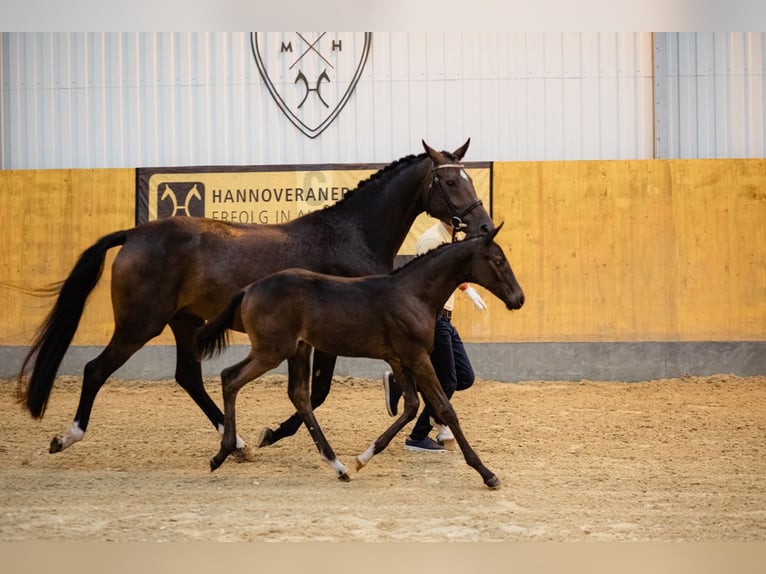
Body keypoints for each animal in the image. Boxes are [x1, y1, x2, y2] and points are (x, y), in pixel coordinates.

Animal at [21, 142, 496, 462]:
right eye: (449, 180)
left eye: (470, 177)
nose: (483, 226)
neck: (349, 234)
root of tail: (135, 234)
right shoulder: (329, 336)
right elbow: (318, 392)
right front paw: (276, 433)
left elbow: (316, 391)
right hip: (140, 324)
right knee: (95, 369)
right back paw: (66, 437)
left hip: (185, 322)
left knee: (188, 377)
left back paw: (237, 444)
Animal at [195, 226, 524, 490]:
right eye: (498, 261)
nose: (518, 299)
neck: (412, 294)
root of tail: (249, 288)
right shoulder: (417, 356)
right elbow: (445, 408)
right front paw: (487, 473)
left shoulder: (398, 359)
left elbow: (410, 406)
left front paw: (362, 459)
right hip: (271, 351)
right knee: (231, 378)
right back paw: (223, 453)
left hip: (297, 350)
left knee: (298, 395)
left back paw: (338, 466)